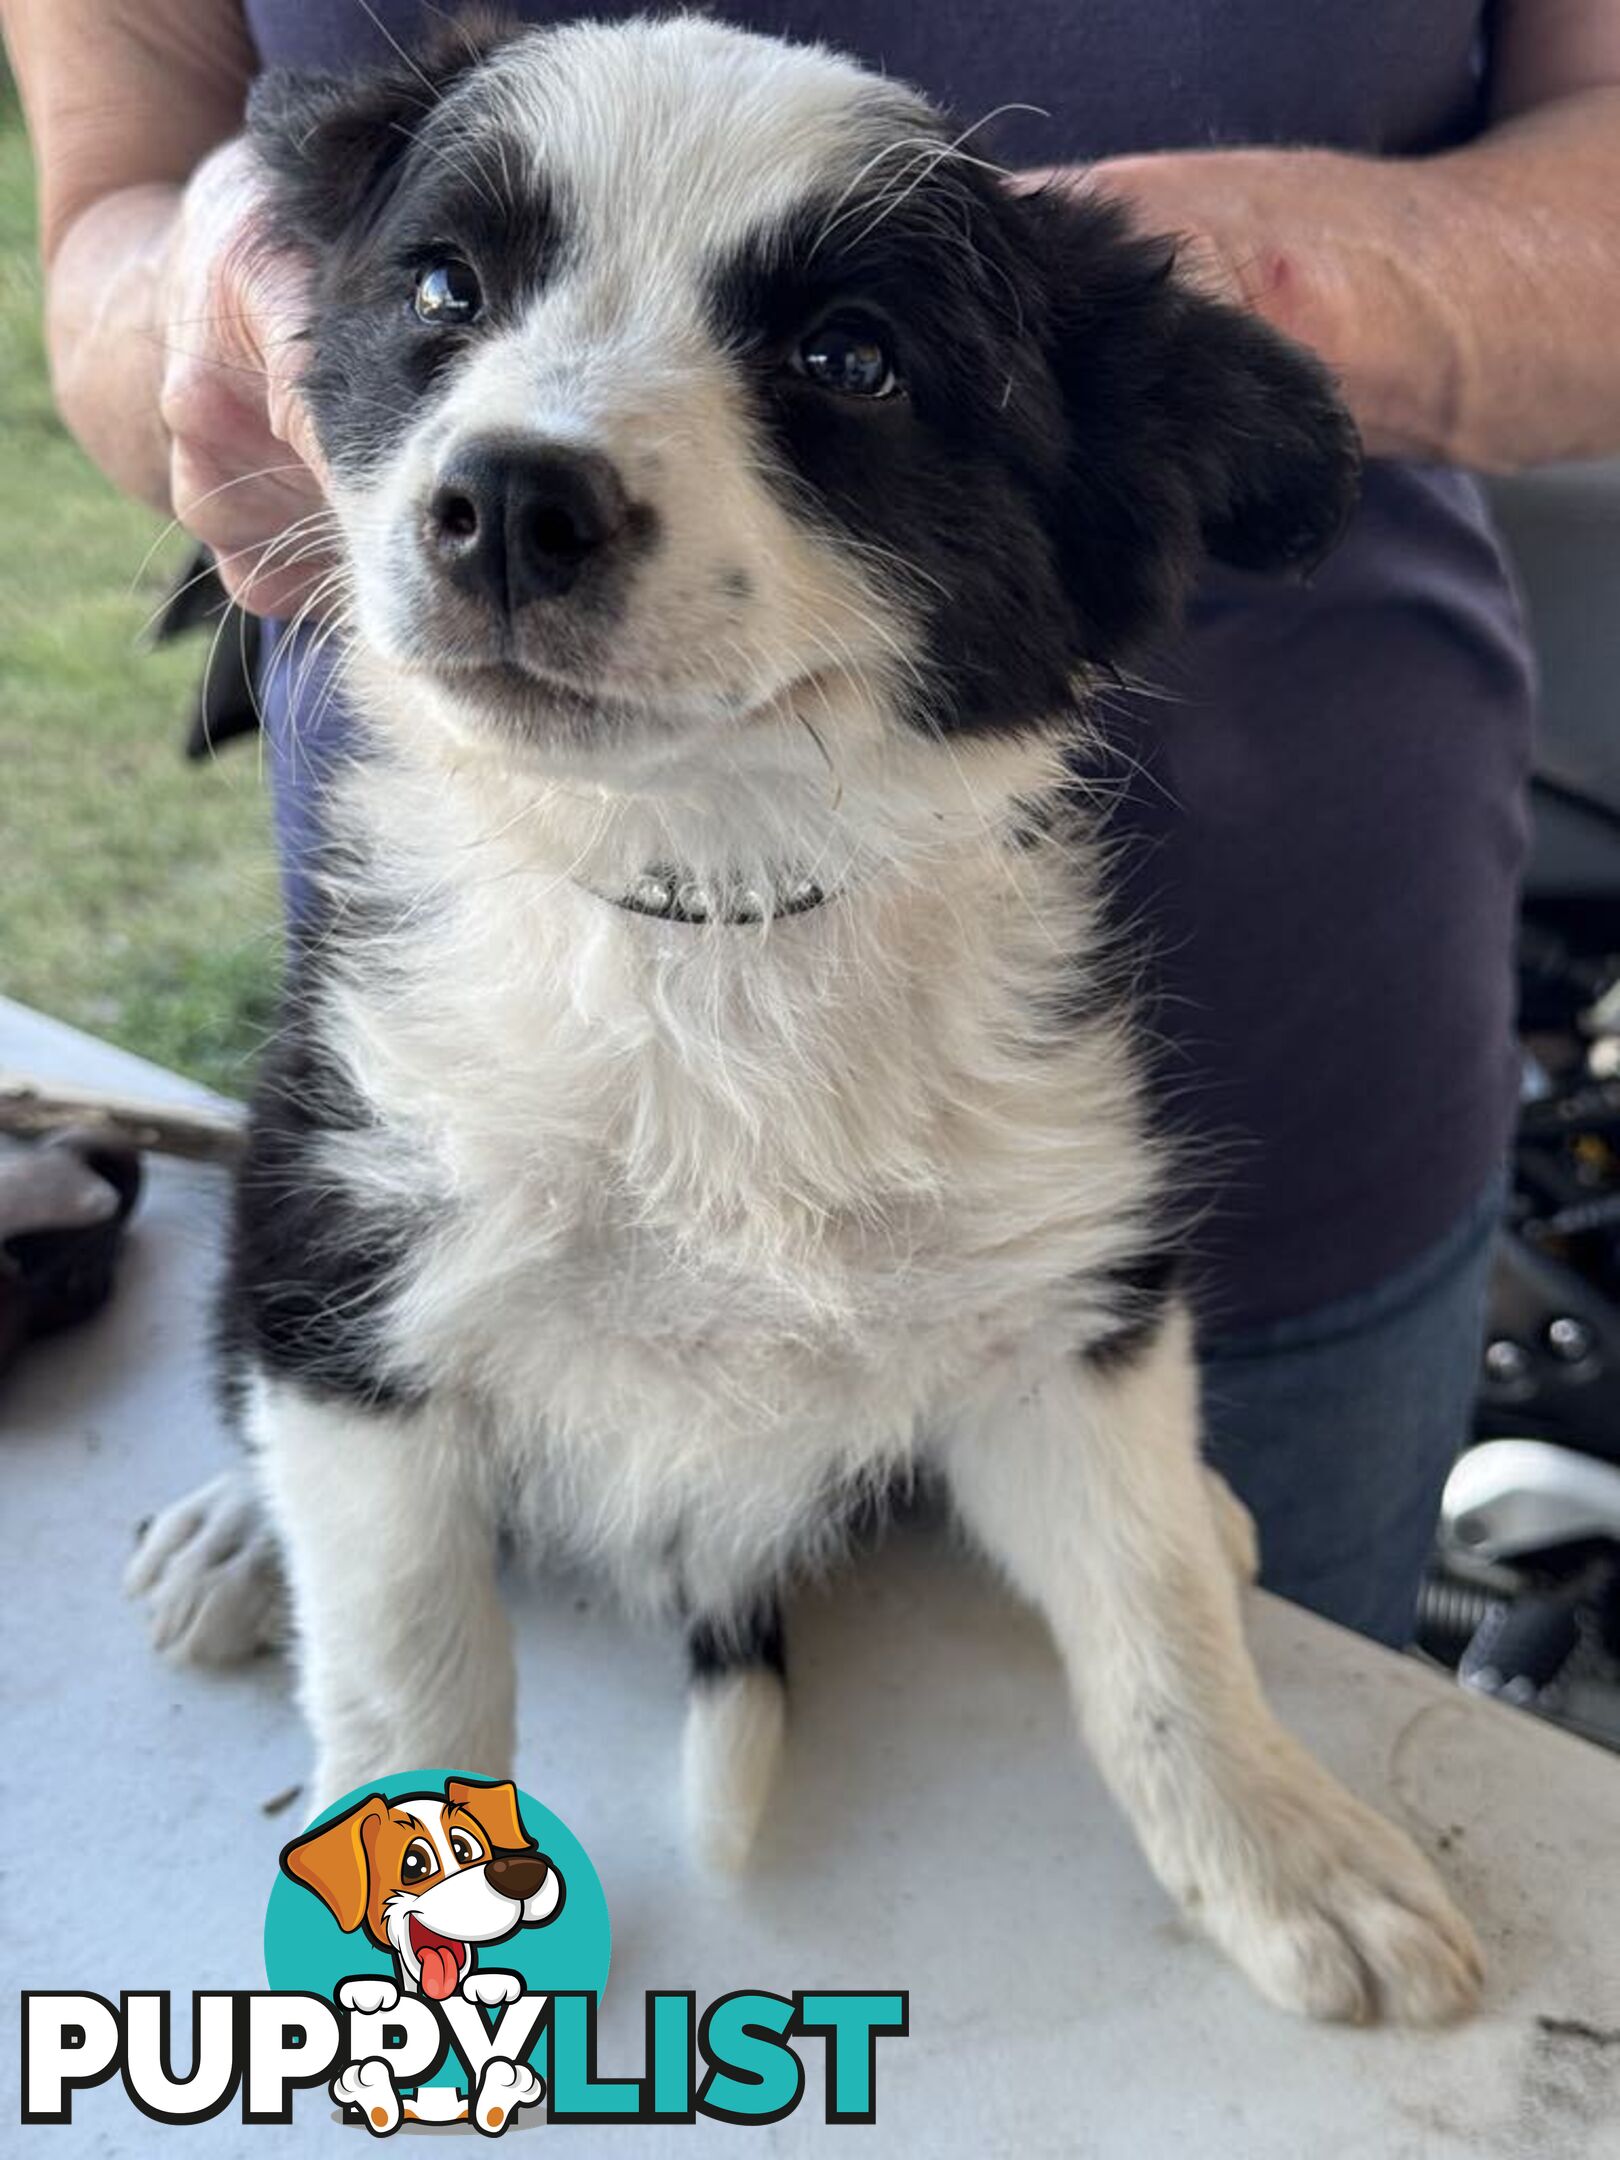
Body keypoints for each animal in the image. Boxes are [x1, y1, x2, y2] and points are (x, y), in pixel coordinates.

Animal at [136, 12, 1486, 2021]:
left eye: (852, 359)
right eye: (446, 290)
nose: (505, 503)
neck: (710, 913)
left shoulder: (1067, 1283)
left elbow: (1153, 1608)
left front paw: (1276, 1838)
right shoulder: (356, 1238)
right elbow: (408, 1660)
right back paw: (236, 1533)